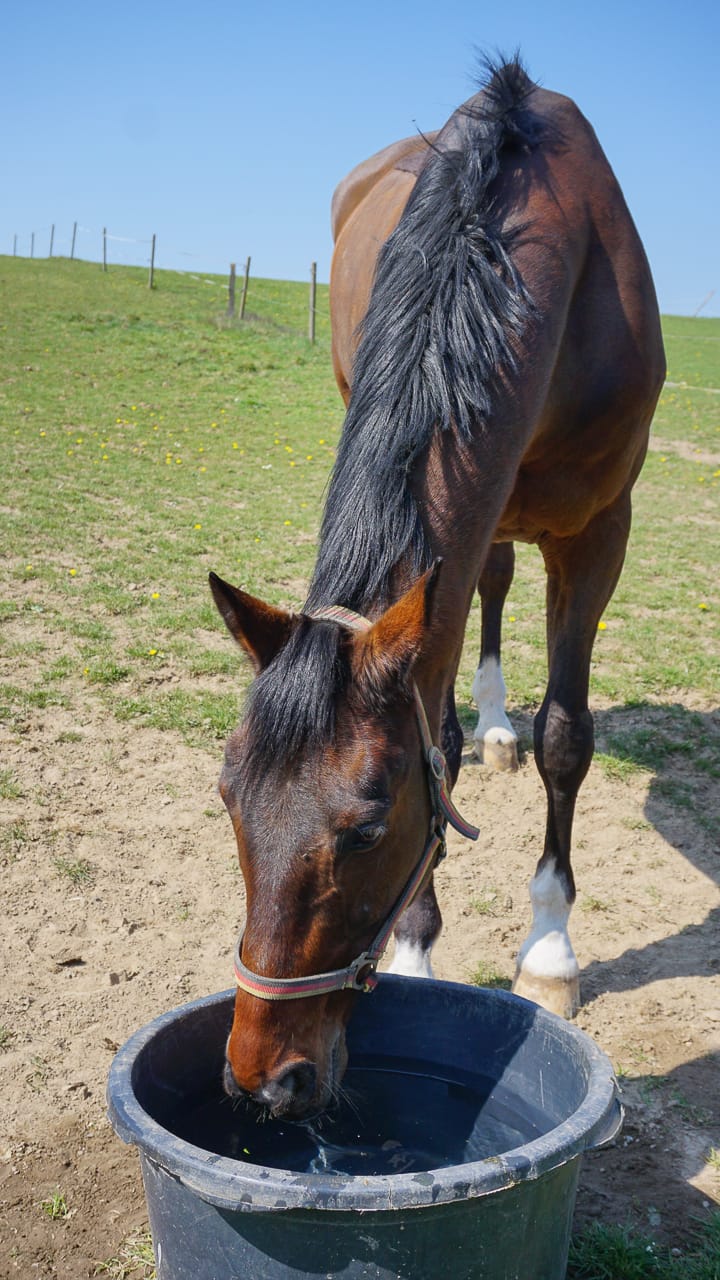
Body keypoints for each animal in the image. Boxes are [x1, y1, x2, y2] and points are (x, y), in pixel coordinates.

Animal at [210, 59, 665, 1121]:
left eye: (368, 829)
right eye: (229, 801)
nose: (262, 1077)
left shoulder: (601, 531)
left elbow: (567, 738)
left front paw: (549, 950)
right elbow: (440, 739)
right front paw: (419, 946)